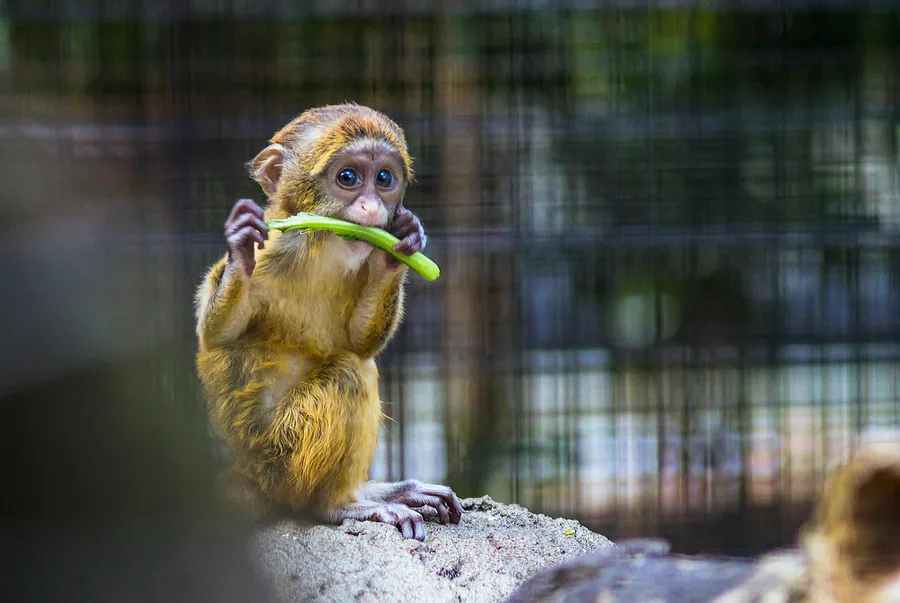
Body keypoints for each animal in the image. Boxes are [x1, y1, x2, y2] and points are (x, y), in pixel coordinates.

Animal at [193, 103, 463, 542]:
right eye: (348, 178)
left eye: (384, 179)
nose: (372, 208)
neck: (320, 246)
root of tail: (249, 473)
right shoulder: (275, 249)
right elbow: (217, 335)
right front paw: (240, 249)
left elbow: (359, 342)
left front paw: (399, 247)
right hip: (283, 456)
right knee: (349, 375)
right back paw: (337, 505)